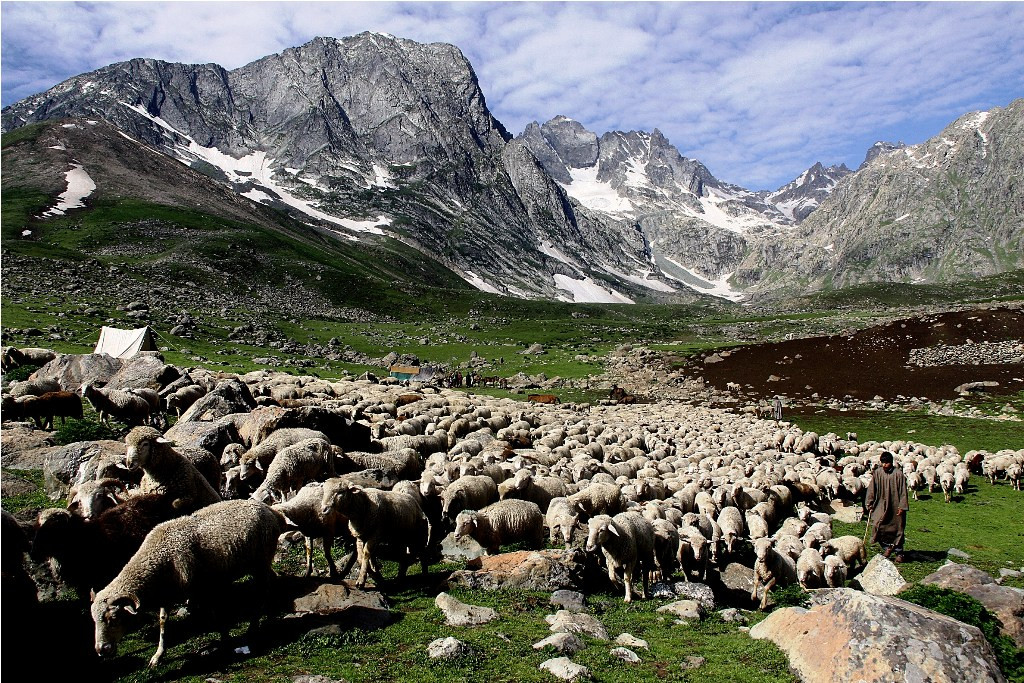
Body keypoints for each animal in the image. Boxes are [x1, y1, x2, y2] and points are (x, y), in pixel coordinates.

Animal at [91, 499, 285, 668]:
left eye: (114, 618)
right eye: (94, 620)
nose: (101, 650)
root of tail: (271, 511)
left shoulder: (201, 588)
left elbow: (216, 616)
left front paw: (225, 641)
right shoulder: (167, 594)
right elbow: (163, 623)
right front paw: (158, 655)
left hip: (260, 561)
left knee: (263, 590)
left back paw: (253, 626)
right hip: (258, 563)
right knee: (273, 581)